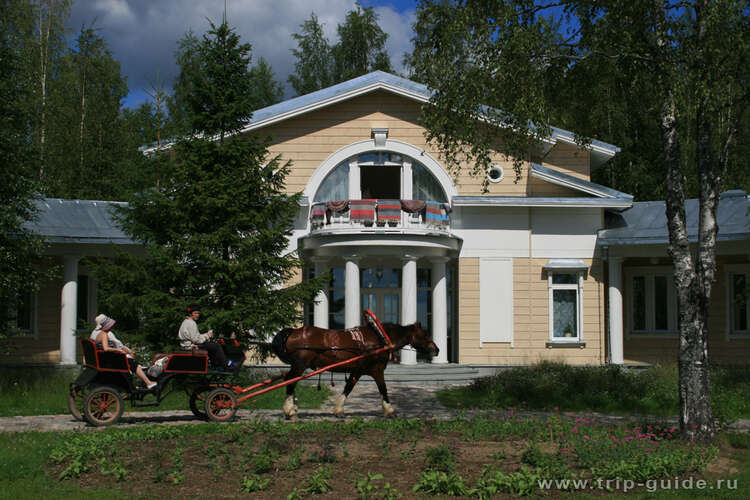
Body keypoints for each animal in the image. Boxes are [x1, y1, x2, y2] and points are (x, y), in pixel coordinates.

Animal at [272, 320, 440, 418]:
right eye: (425, 334)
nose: (437, 350)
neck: (379, 339)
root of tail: (293, 332)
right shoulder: (377, 370)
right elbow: (383, 389)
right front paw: (389, 410)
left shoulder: (357, 371)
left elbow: (348, 388)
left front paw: (338, 409)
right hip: (299, 365)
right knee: (290, 381)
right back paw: (289, 410)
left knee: (290, 381)